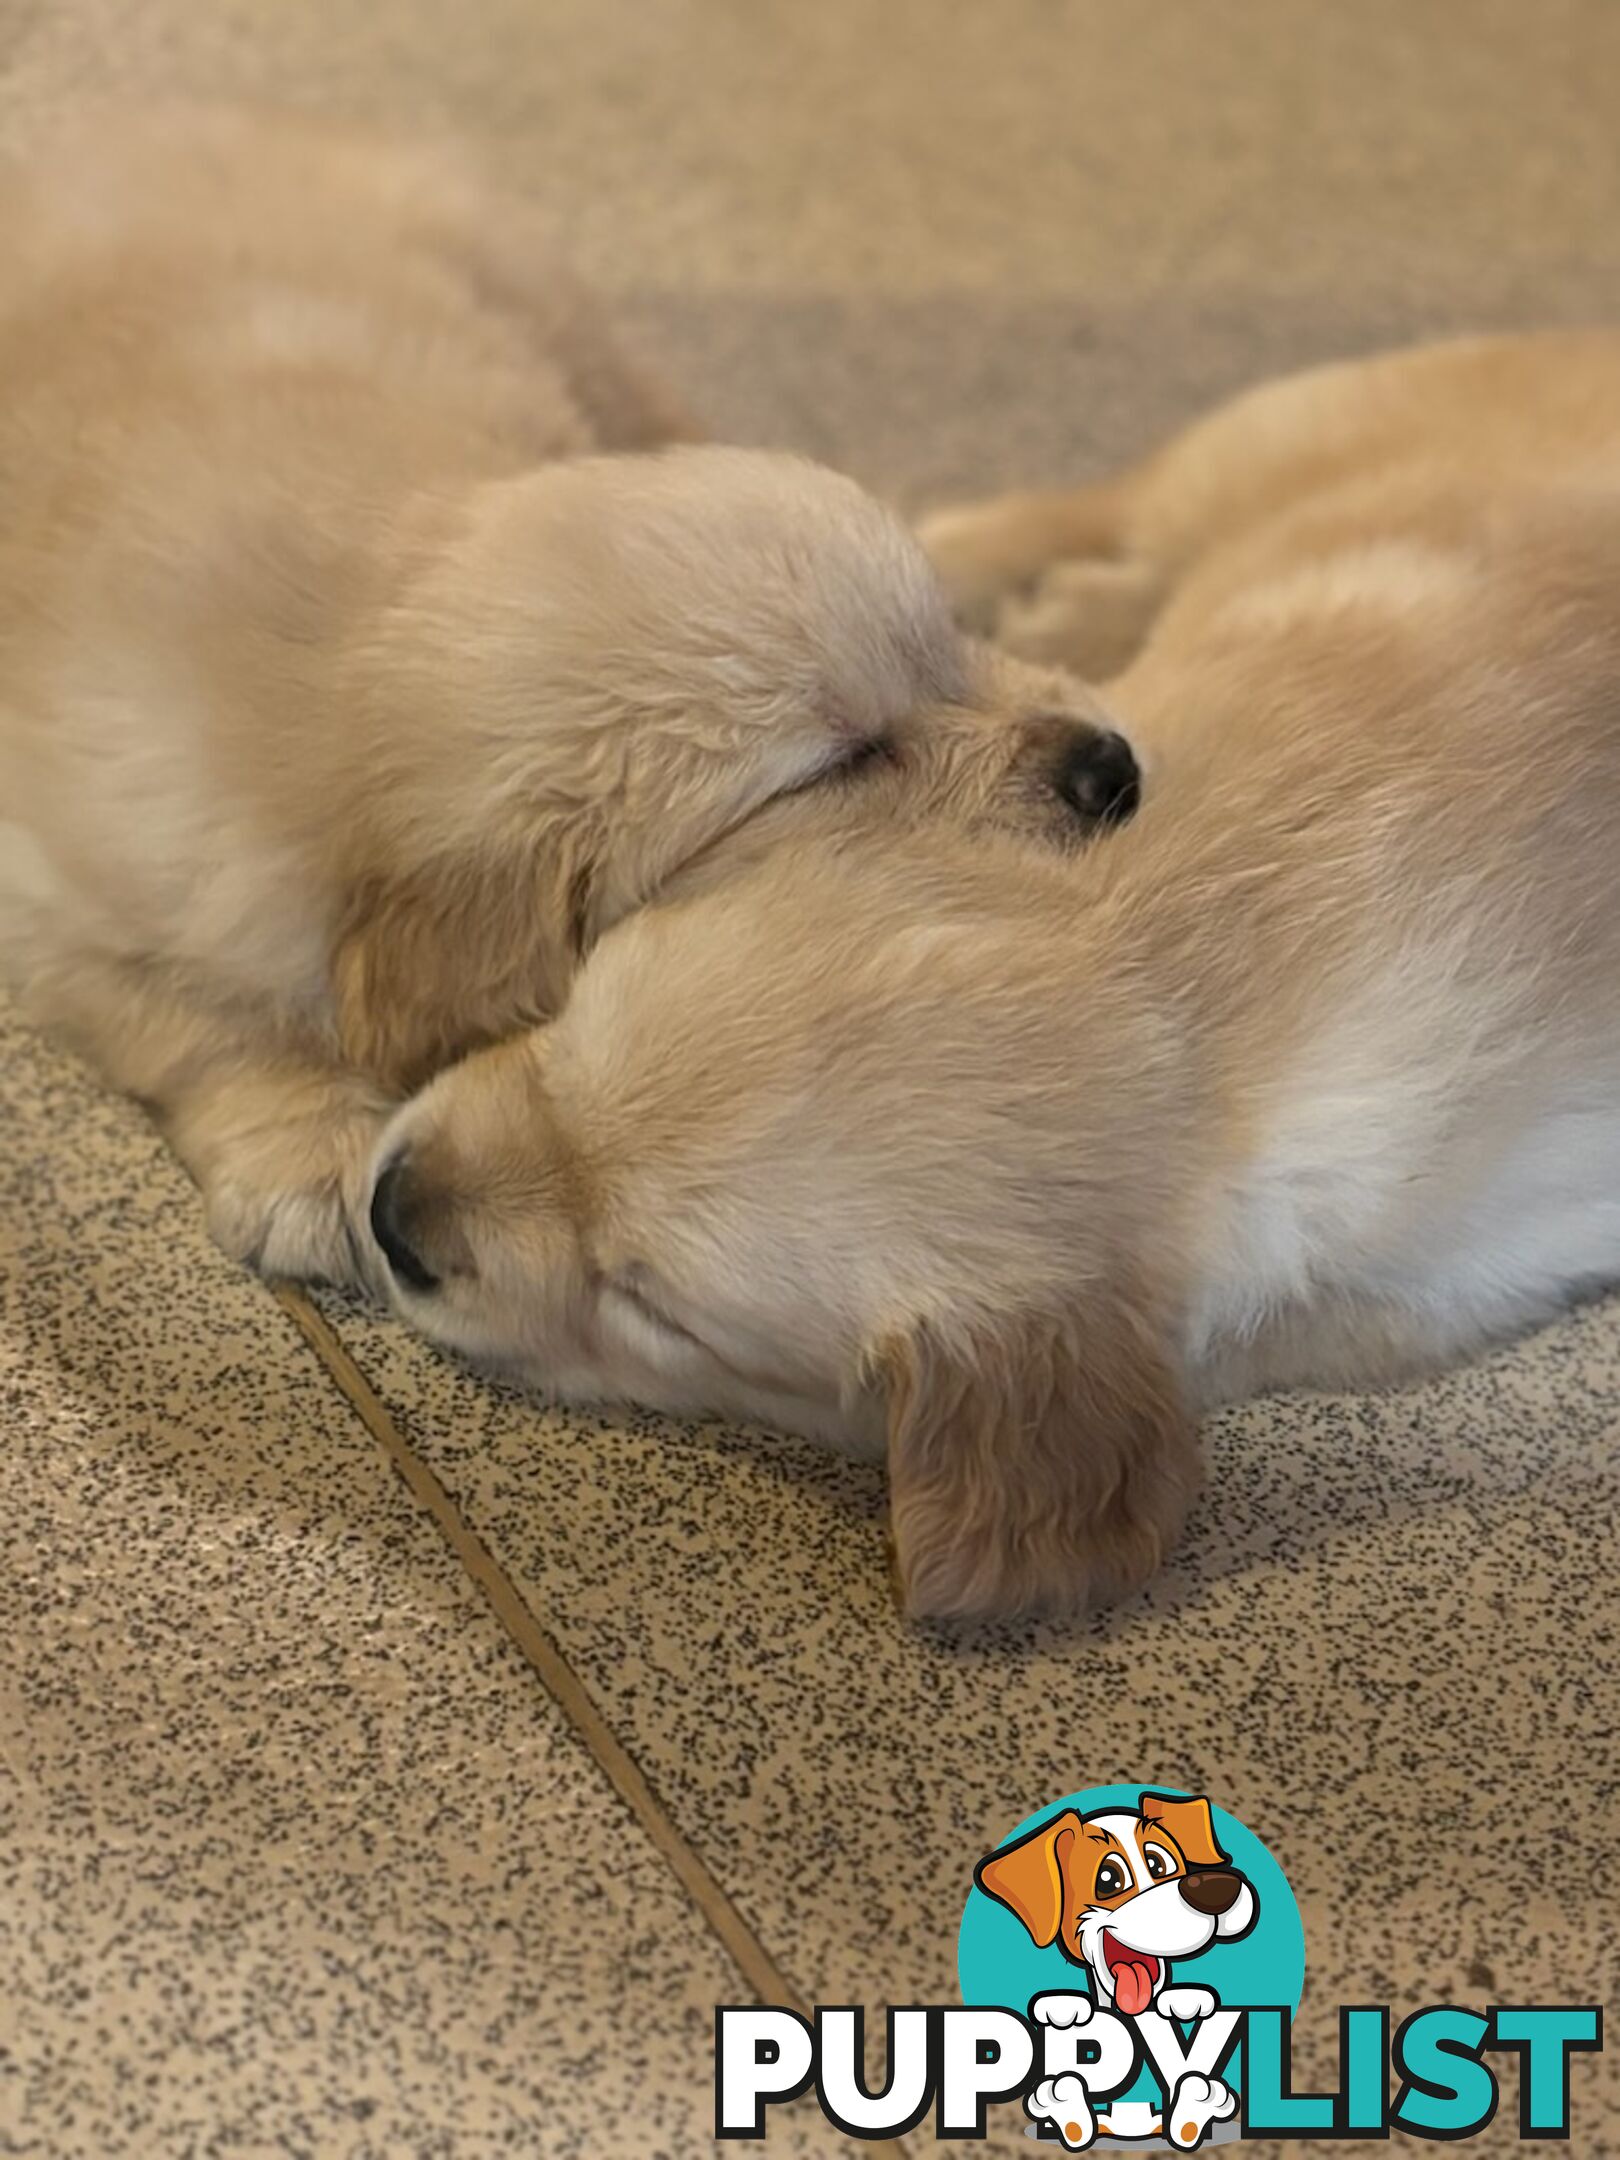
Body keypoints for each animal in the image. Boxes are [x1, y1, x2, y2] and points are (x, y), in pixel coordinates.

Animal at [0, 105, 1140, 1278]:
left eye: (947, 646)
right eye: (844, 761)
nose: (1115, 768)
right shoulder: (63, 886)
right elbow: (188, 1016)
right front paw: (306, 1148)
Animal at [360, 332, 1620, 1624]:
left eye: (647, 1303)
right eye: (568, 1026)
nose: (389, 1214)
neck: (1226, 966)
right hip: (1266, 441)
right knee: (1078, 505)